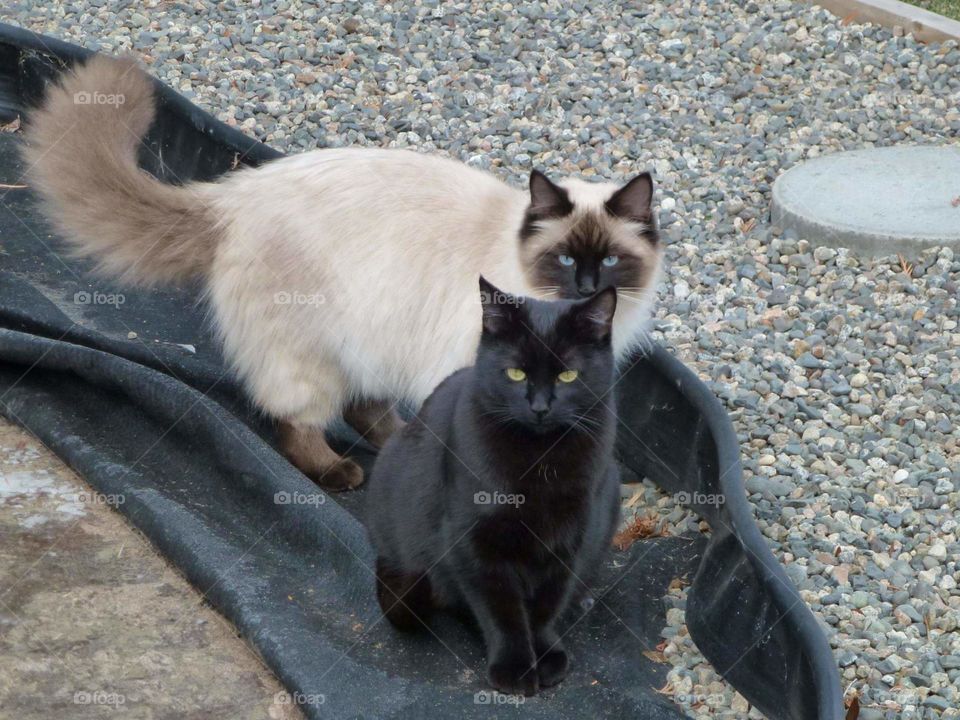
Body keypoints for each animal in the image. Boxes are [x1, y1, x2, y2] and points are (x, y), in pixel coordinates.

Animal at [26, 56, 664, 490]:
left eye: (609, 260)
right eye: (565, 259)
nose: (587, 287)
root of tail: (236, 193)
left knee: (366, 408)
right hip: (314, 354)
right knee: (297, 422)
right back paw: (339, 473)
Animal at [364, 278, 620, 696]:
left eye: (568, 376)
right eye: (515, 374)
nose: (540, 407)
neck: (538, 461)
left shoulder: (572, 539)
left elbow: (547, 604)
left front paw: (545, 653)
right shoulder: (474, 541)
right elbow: (502, 610)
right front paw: (514, 667)